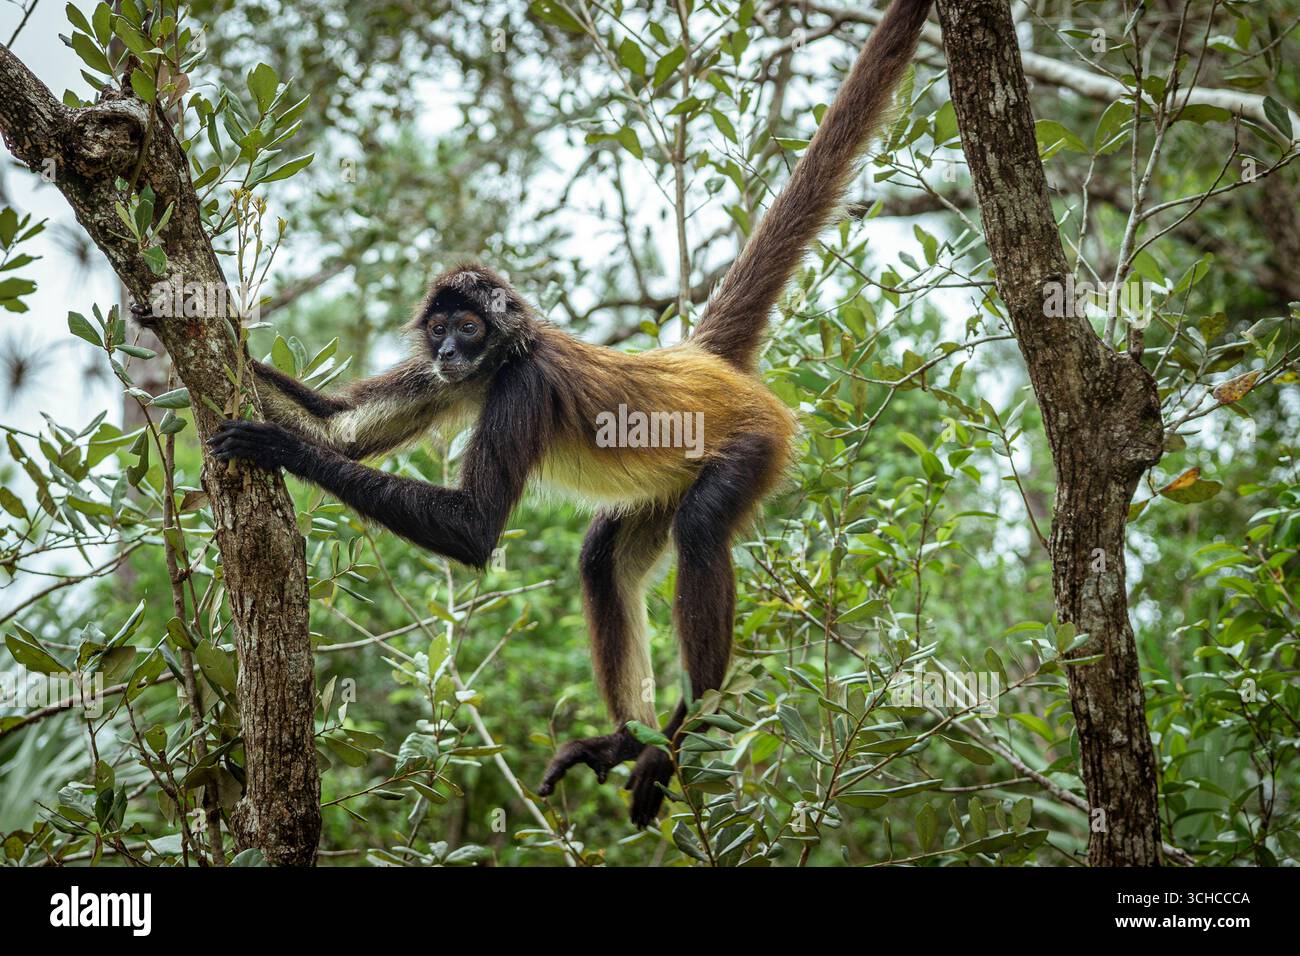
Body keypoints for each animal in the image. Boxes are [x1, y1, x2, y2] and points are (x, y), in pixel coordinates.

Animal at [201, 0, 933, 828]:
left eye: (470, 327)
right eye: (441, 328)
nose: (448, 348)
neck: (502, 360)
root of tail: (699, 363)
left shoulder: (518, 386)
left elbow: (473, 528)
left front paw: (274, 448)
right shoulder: (456, 383)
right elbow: (343, 434)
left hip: (755, 443)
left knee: (700, 529)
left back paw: (685, 729)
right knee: (602, 557)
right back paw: (625, 739)